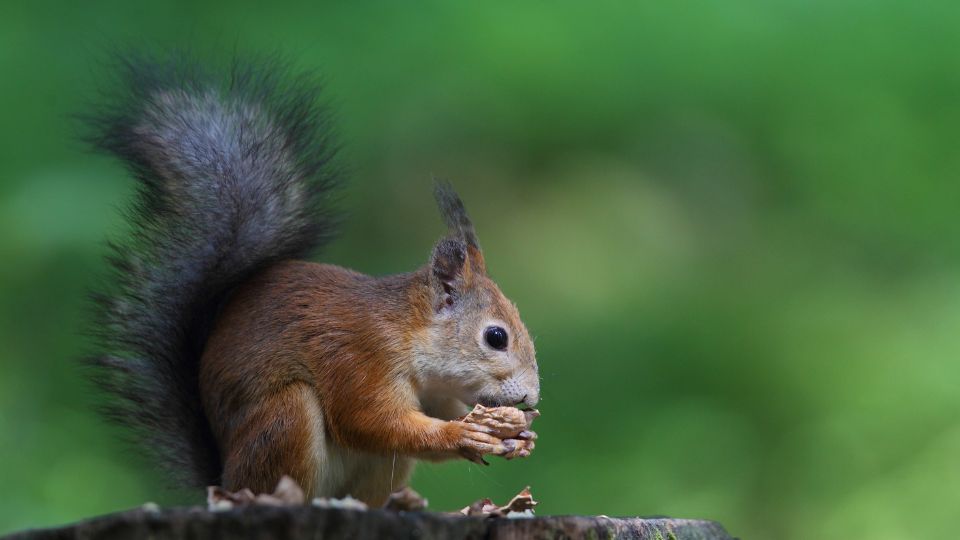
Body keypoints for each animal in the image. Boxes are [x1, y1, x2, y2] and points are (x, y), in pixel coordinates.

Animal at [85, 56, 540, 506]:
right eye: (496, 337)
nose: (531, 399)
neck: (407, 333)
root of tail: (224, 483)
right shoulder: (357, 357)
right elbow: (370, 421)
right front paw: (463, 433)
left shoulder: (434, 391)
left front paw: (515, 435)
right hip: (284, 419)